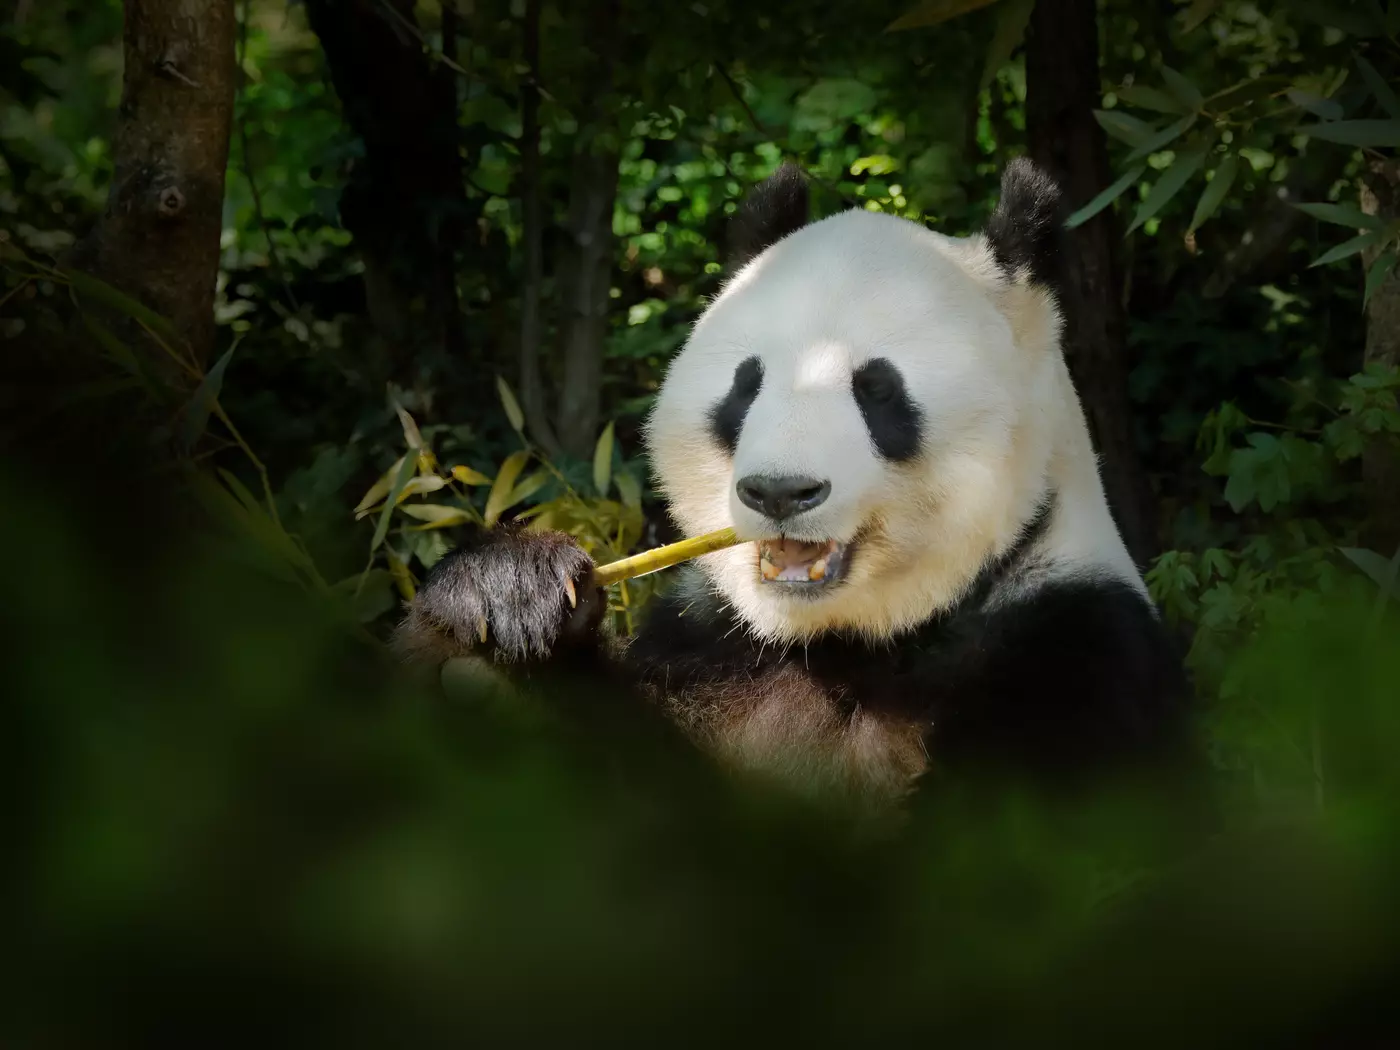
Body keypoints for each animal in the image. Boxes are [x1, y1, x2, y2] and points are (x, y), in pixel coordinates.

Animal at [396, 158, 1190, 804]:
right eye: (746, 385)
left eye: (878, 391)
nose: (780, 492)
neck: (843, 641)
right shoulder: (710, 650)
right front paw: (501, 604)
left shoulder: (1071, 651)